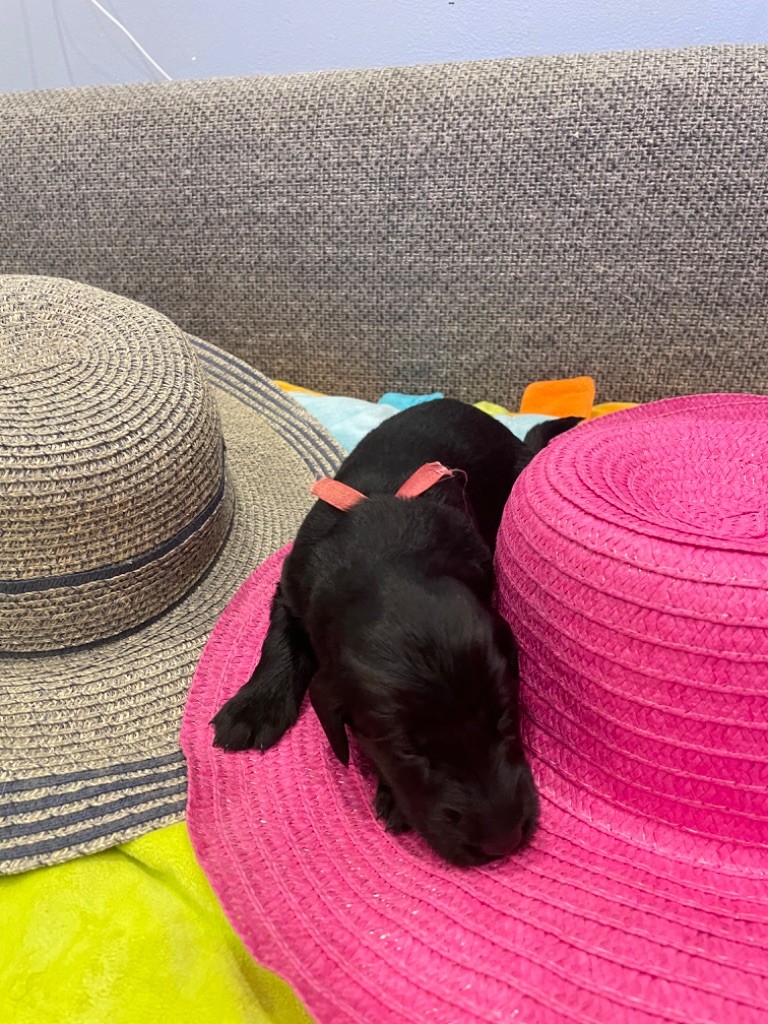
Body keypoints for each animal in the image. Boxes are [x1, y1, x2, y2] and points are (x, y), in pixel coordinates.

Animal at [213, 399, 579, 866]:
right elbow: (279, 640)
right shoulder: (293, 585)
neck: (384, 553)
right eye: (407, 750)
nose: (503, 843)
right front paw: (253, 709)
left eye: (504, 716)